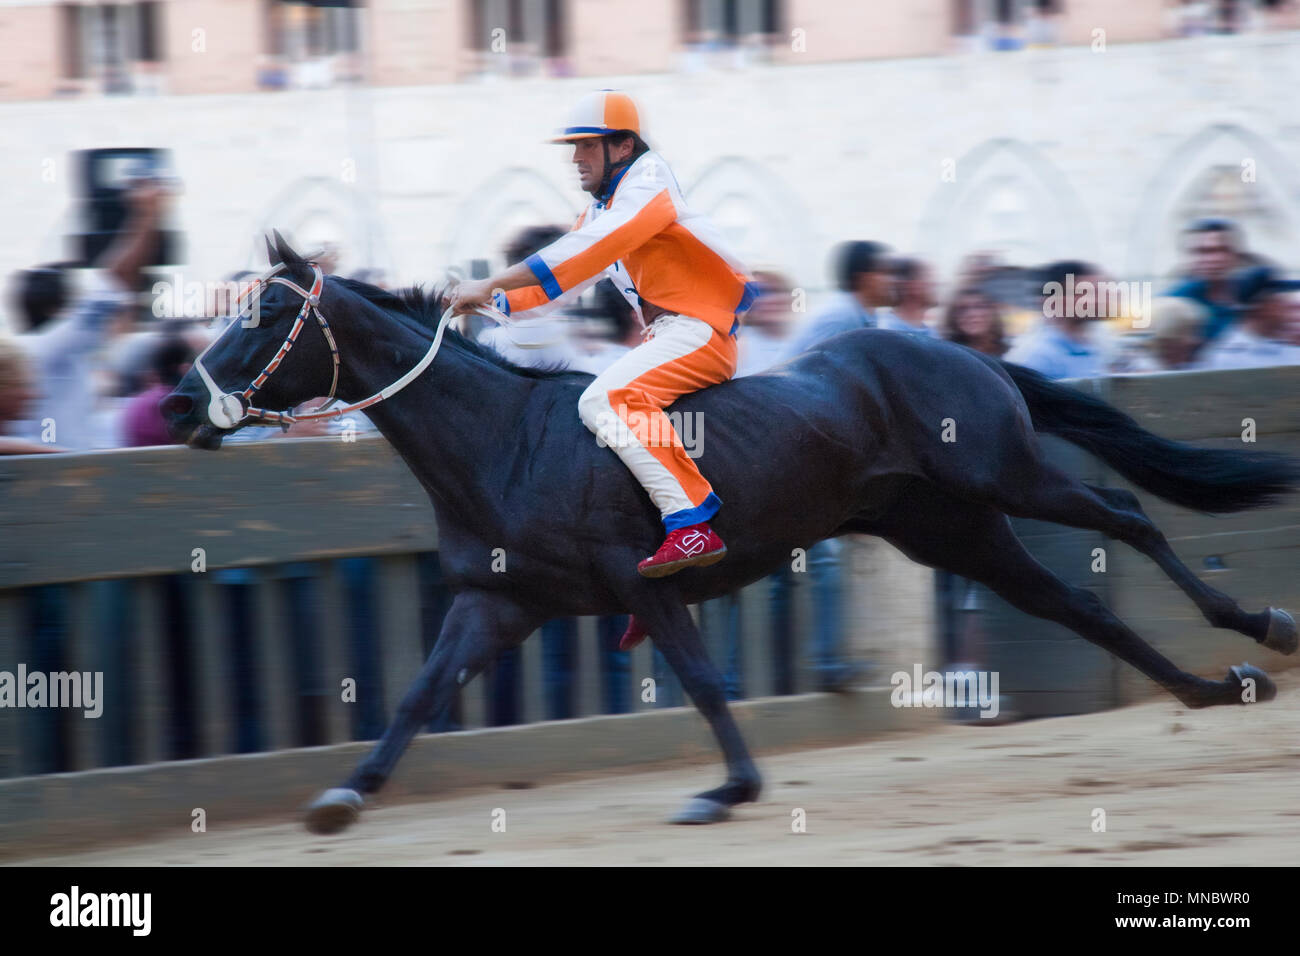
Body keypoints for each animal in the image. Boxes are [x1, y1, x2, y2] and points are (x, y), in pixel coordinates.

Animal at [162, 235, 1300, 832]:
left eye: (264, 317)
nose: (178, 400)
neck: (505, 443)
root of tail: (955, 346)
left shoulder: (644, 581)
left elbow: (706, 682)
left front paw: (733, 786)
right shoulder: (500, 599)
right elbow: (415, 695)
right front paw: (343, 794)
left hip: (1001, 474)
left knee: (1127, 517)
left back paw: (1259, 631)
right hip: (953, 529)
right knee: (1074, 603)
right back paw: (1208, 685)